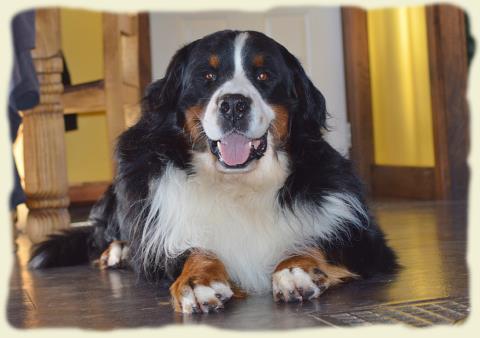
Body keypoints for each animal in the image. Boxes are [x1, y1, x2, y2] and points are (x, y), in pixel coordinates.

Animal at [30, 29, 398, 314]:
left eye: (263, 76)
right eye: (207, 77)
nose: (234, 104)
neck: (238, 185)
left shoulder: (362, 236)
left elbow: (316, 239)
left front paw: (295, 268)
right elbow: (194, 248)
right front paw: (198, 280)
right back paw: (119, 250)